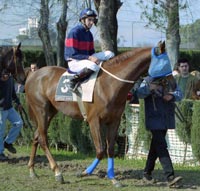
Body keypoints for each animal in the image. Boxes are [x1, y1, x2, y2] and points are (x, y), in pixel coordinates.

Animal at [25, 47, 152, 187]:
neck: (110, 84)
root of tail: (33, 75)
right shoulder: (94, 120)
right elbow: (100, 150)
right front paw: (84, 172)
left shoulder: (114, 120)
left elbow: (110, 149)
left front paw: (113, 178)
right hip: (41, 109)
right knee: (43, 139)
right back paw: (58, 173)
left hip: (50, 111)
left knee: (36, 135)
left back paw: (32, 170)